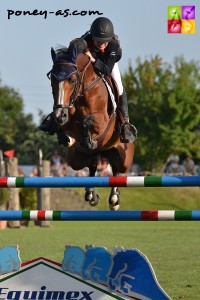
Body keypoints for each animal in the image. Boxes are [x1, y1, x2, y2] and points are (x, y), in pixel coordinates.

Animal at [48, 38, 134, 211]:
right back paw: (91, 194)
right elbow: (68, 124)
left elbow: (85, 121)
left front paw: (88, 139)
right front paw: (64, 135)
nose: (60, 115)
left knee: (117, 169)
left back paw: (114, 199)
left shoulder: (102, 121)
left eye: (72, 80)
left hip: (124, 157)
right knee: (92, 165)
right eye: (52, 79)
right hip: (75, 160)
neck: (83, 90)